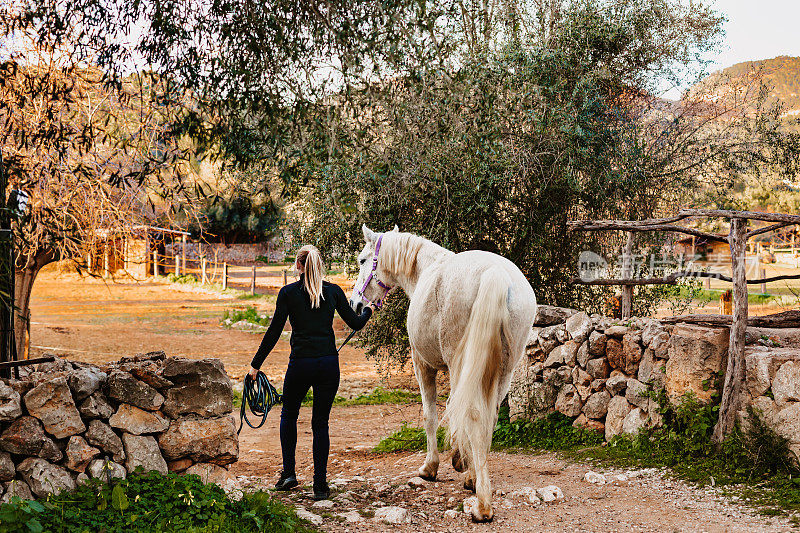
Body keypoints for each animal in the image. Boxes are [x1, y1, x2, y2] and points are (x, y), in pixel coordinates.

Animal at [350, 224, 536, 520]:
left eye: (362, 260)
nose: (356, 304)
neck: (425, 268)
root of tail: (495, 274)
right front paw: (462, 460)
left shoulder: (423, 364)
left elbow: (431, 415)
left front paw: (432, 466)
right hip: (503, 370)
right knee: (489, 416)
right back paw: (476, 480)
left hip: (463, 364)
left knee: (472, 414)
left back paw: (482, 502)